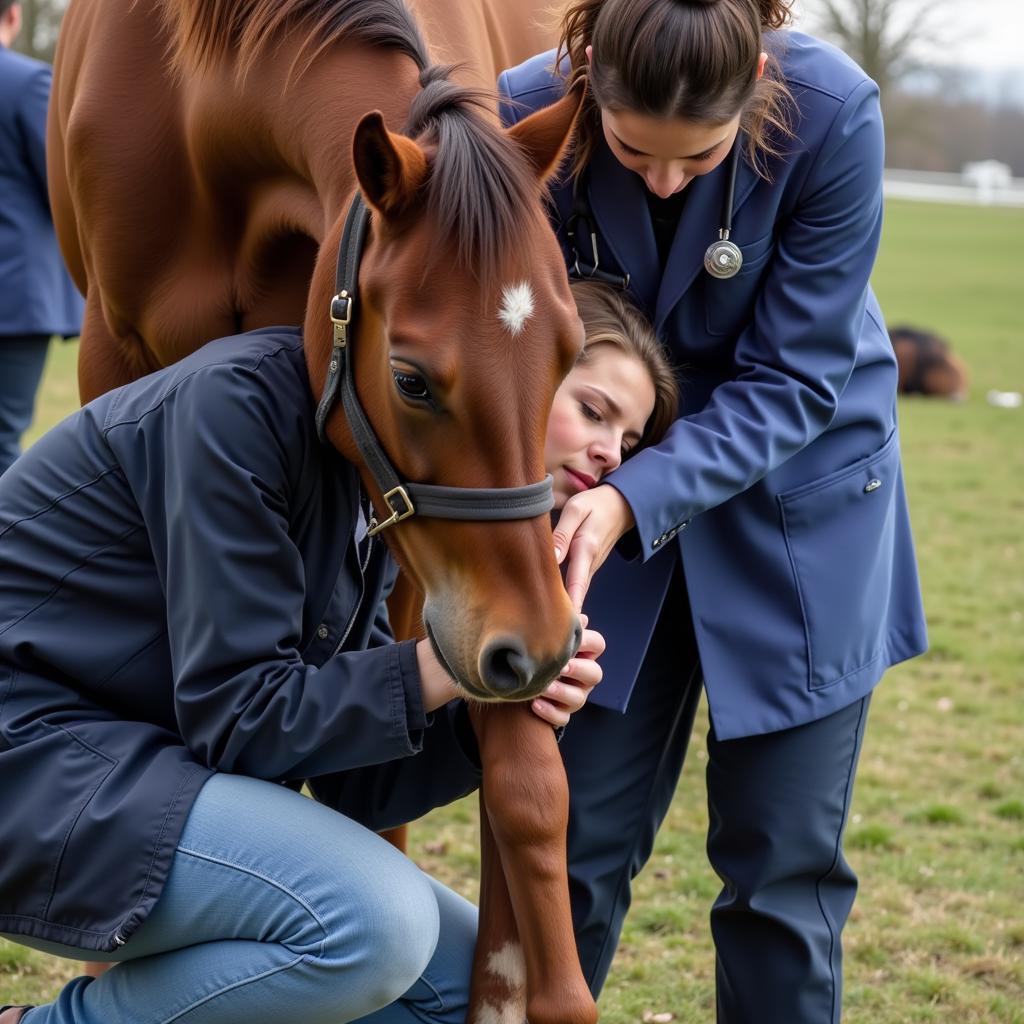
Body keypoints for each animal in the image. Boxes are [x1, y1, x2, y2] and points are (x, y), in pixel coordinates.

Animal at [48, 2, 598, 1024]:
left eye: (568, 354)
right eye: (412, 380)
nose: (543, 647)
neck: (205, 99)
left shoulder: (451, 578)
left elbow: (520, 780)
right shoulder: (113, 355)